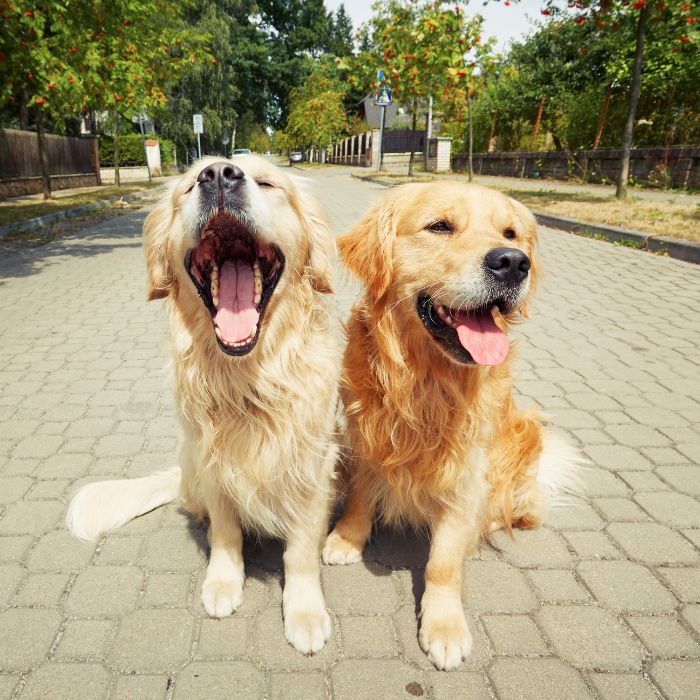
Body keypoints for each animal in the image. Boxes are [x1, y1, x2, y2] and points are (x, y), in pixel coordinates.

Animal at [67, 156, 340, 652]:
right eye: (191, 184)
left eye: (268, 182)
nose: (219, 175)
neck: (247, 379)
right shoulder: (214, 462)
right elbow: (226, 531)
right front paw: (223, 582)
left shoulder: (311, 467)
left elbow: (300, 550)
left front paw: (305, 611)